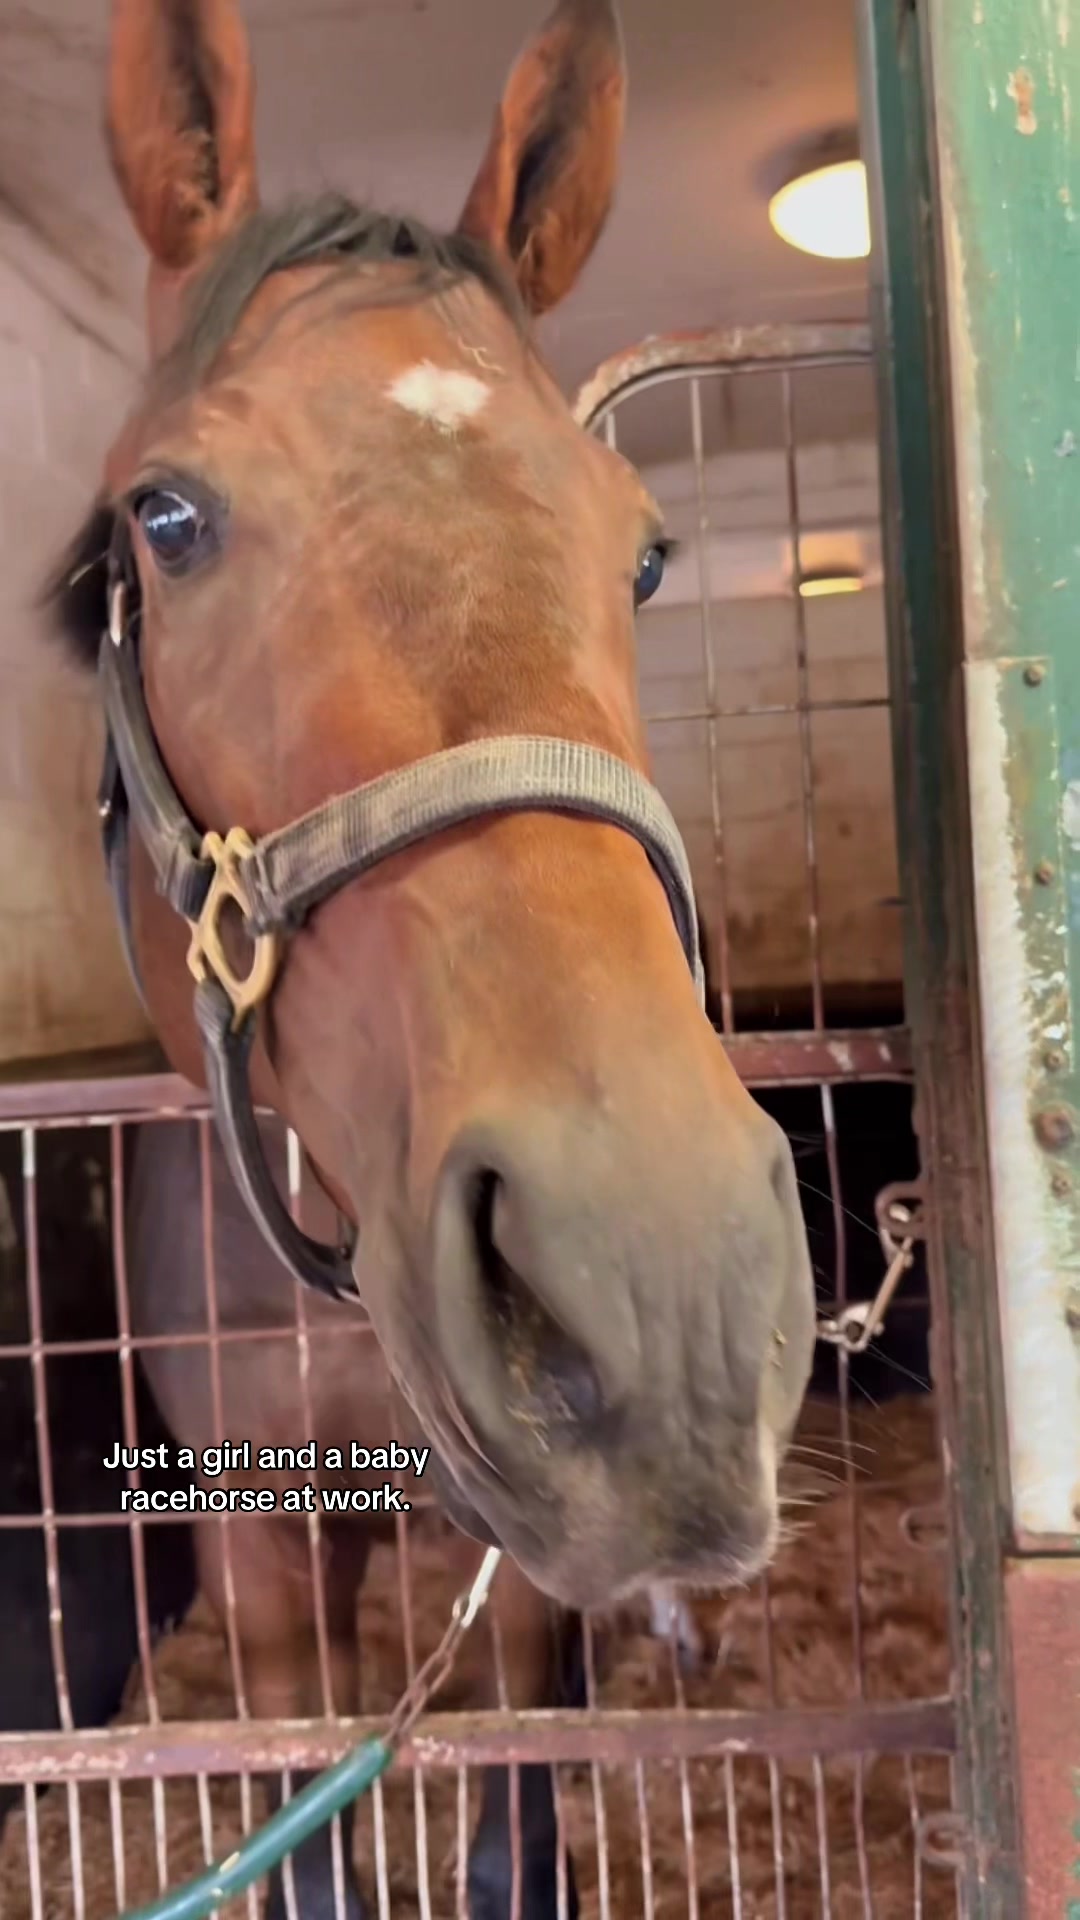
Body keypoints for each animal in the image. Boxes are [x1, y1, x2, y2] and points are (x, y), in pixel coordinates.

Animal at [40, 0, 816, 1877]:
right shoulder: (264, 1570)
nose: (660, 1277)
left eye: (648, 551)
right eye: (166, 517)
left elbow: (516, 1829)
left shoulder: (520, 1590)